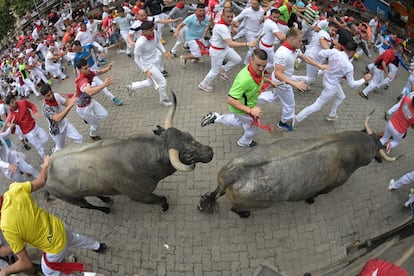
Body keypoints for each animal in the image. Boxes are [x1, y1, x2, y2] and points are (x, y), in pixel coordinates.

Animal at [46, 93, 213, 213]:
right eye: (187, 154)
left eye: (189, 135)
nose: (210, 152)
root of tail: (47, 172)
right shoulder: (141, 196)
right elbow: (162, 199)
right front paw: (165, 207)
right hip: (74, 199)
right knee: (87, 205)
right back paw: (105, 209)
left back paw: (106, 199)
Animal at [199, 114, 396, 218]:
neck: (347, 144)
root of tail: (235, 173)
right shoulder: (328, 188)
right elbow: (314, 195)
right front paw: (310, 200)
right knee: (237, 209)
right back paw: (244, 214)